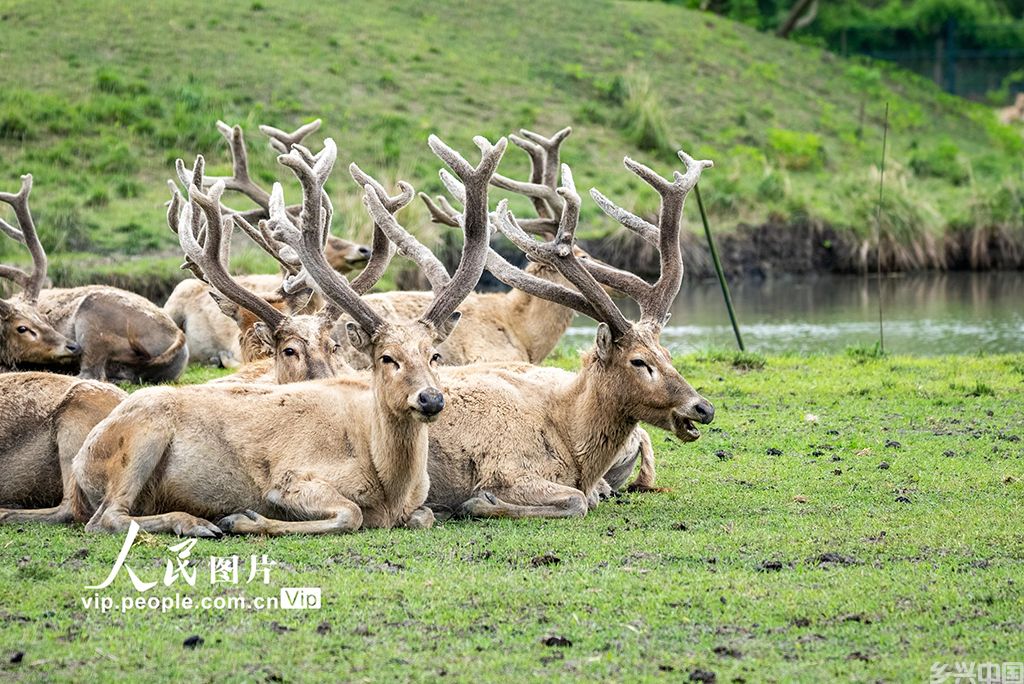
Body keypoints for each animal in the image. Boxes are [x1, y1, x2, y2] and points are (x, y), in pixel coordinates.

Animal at [0, 175, 188, 382]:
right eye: (22, 328)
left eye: (44, 319)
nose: (72, 346)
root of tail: (178, 337)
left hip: (93, 317)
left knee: (91, 373)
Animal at [398, 150, 716, 519]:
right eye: (638, 361)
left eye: (668, 354)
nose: (703, 408)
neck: (571, 444)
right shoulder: (508, 468)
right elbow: (577, 501)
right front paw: (478, 502)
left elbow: (585, 498)